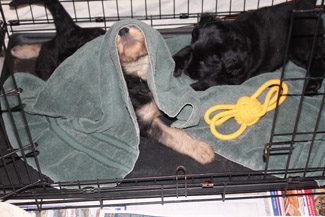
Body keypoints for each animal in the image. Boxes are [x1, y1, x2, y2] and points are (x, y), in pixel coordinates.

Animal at [115, 25, 214, 164]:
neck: (141, 74)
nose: (122, 30)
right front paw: (200, 149)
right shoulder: (144, 122)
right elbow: (173, 134)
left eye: (136, 25)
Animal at [173, 0, 322, 92]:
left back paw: (312, 85)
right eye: (193, 55)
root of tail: (307, 9)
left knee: (318, 61)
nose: (187, 72)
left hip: (300, 45)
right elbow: (184, 50)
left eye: (204, 62)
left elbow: (212, 81)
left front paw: (191, 88)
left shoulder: (235, 77)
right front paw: (178, 65)